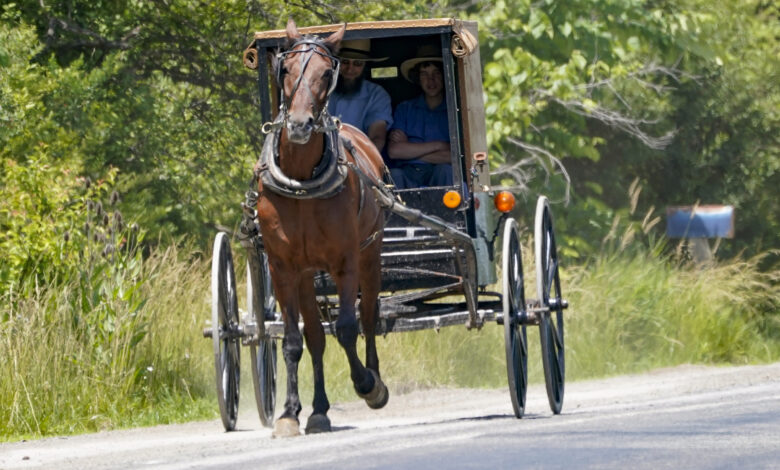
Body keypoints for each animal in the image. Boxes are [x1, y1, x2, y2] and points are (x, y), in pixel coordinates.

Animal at [254, 18, 388, 436]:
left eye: (327, 73)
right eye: (284, 69)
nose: (299, 125)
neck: (300, 179)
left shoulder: (345, 261)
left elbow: (346, 327)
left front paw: (366, 384)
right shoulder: (283, 268)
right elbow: (294, 340)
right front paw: (289, 413)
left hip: (370, 255)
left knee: (369, 316)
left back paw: (374, 379)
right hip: (305, 275)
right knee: (314, 335)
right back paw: (317, 409)